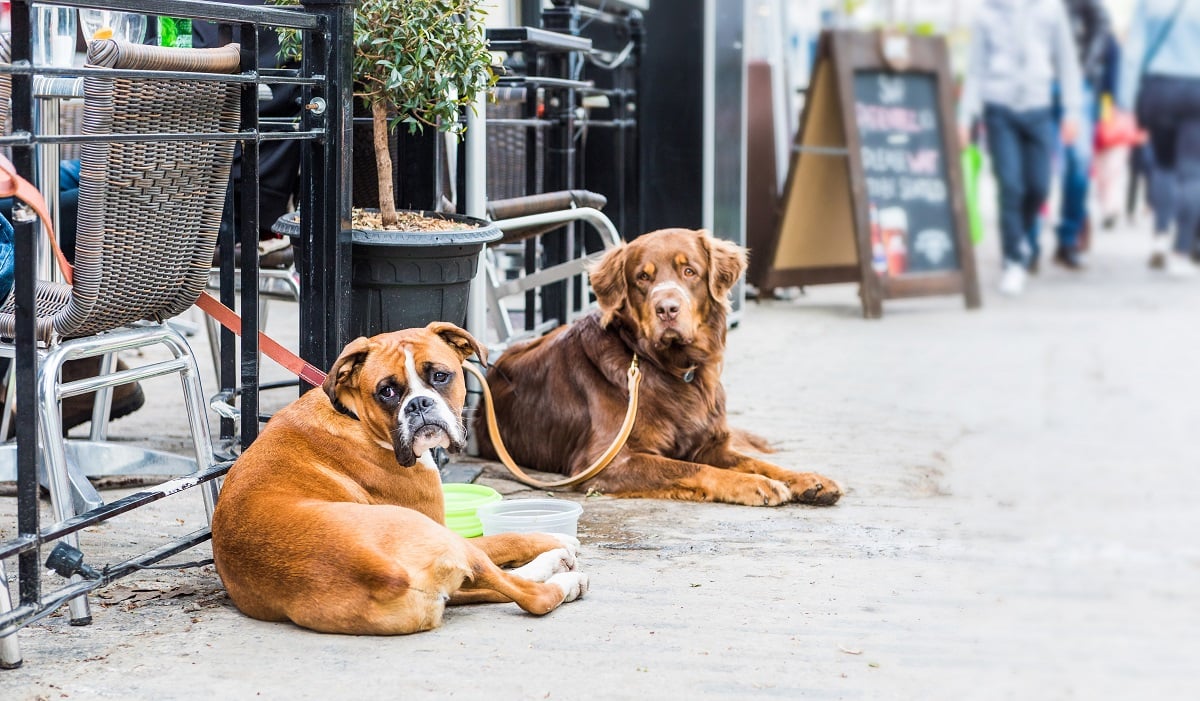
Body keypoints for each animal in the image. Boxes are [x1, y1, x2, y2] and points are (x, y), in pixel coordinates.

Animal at [217, 324, 595, 633]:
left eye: (440, 376)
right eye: (386, 391)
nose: (419, 404)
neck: (354, 416)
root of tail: (382, 572)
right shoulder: (440, 522)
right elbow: (505, 539)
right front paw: (554, 538)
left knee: (489, 586)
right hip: (440, 536)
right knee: (527, 594)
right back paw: (563, 573)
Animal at [472, 226, 840, 506]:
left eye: (690, 271)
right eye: (642, 278)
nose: (667, 309)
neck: (673, 370)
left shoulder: (711, 444)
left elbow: (755, 461)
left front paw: (806, 478)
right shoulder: (607, 461)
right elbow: (692, 469)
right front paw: (754, 484)